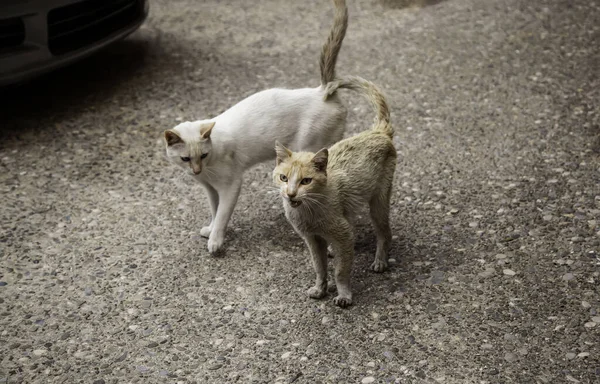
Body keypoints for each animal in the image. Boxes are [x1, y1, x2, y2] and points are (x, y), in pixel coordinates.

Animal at [165, 0, 352, 254]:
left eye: (202, 155)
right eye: (185, 159)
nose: (195, 171)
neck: (207, 170)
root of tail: (322, 91)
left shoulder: (230, 186)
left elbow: (222, 215)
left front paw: (216, 241)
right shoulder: (210, 189)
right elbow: (214, 211)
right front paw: (210, 230)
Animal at [274, 76, 396, 308]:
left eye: (306, 181)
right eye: (283, 178)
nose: (291, 194)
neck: (309, 213)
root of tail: (377, 131)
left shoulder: (342, 234)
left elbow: (340, 271)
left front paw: (344, 295)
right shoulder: (312, 240)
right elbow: (319, 267)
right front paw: (320, 289)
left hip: (379, 201)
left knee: (385, 233)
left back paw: (380, 261)